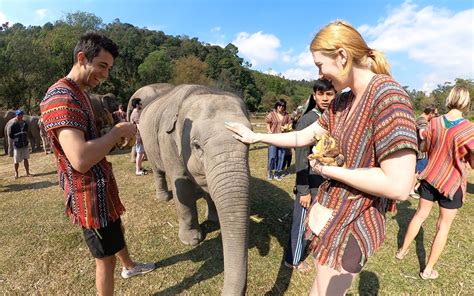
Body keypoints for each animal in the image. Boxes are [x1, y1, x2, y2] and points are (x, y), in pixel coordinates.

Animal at [140, 83, 252, 294]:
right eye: (197, 146)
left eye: (249, 144)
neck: (202, 91)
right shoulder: (168, 142)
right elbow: (182, 189)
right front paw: (191, 240)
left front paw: (213, 223)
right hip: (147, 142)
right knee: (158, 170)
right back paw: (163, 198)